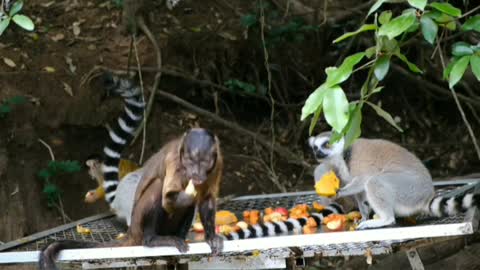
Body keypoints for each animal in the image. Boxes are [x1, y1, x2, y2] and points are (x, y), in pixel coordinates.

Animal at [39, 127, 223, 268]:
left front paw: (211, 237)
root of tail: (132, 231)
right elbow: (168, 197)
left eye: (203, 162)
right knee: (158, 185)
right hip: (138, 221)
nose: (195, 173)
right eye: (190, 161)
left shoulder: (217, 160)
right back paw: (152, 239)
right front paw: (190, 194)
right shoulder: (174, 160)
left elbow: (207, 198)